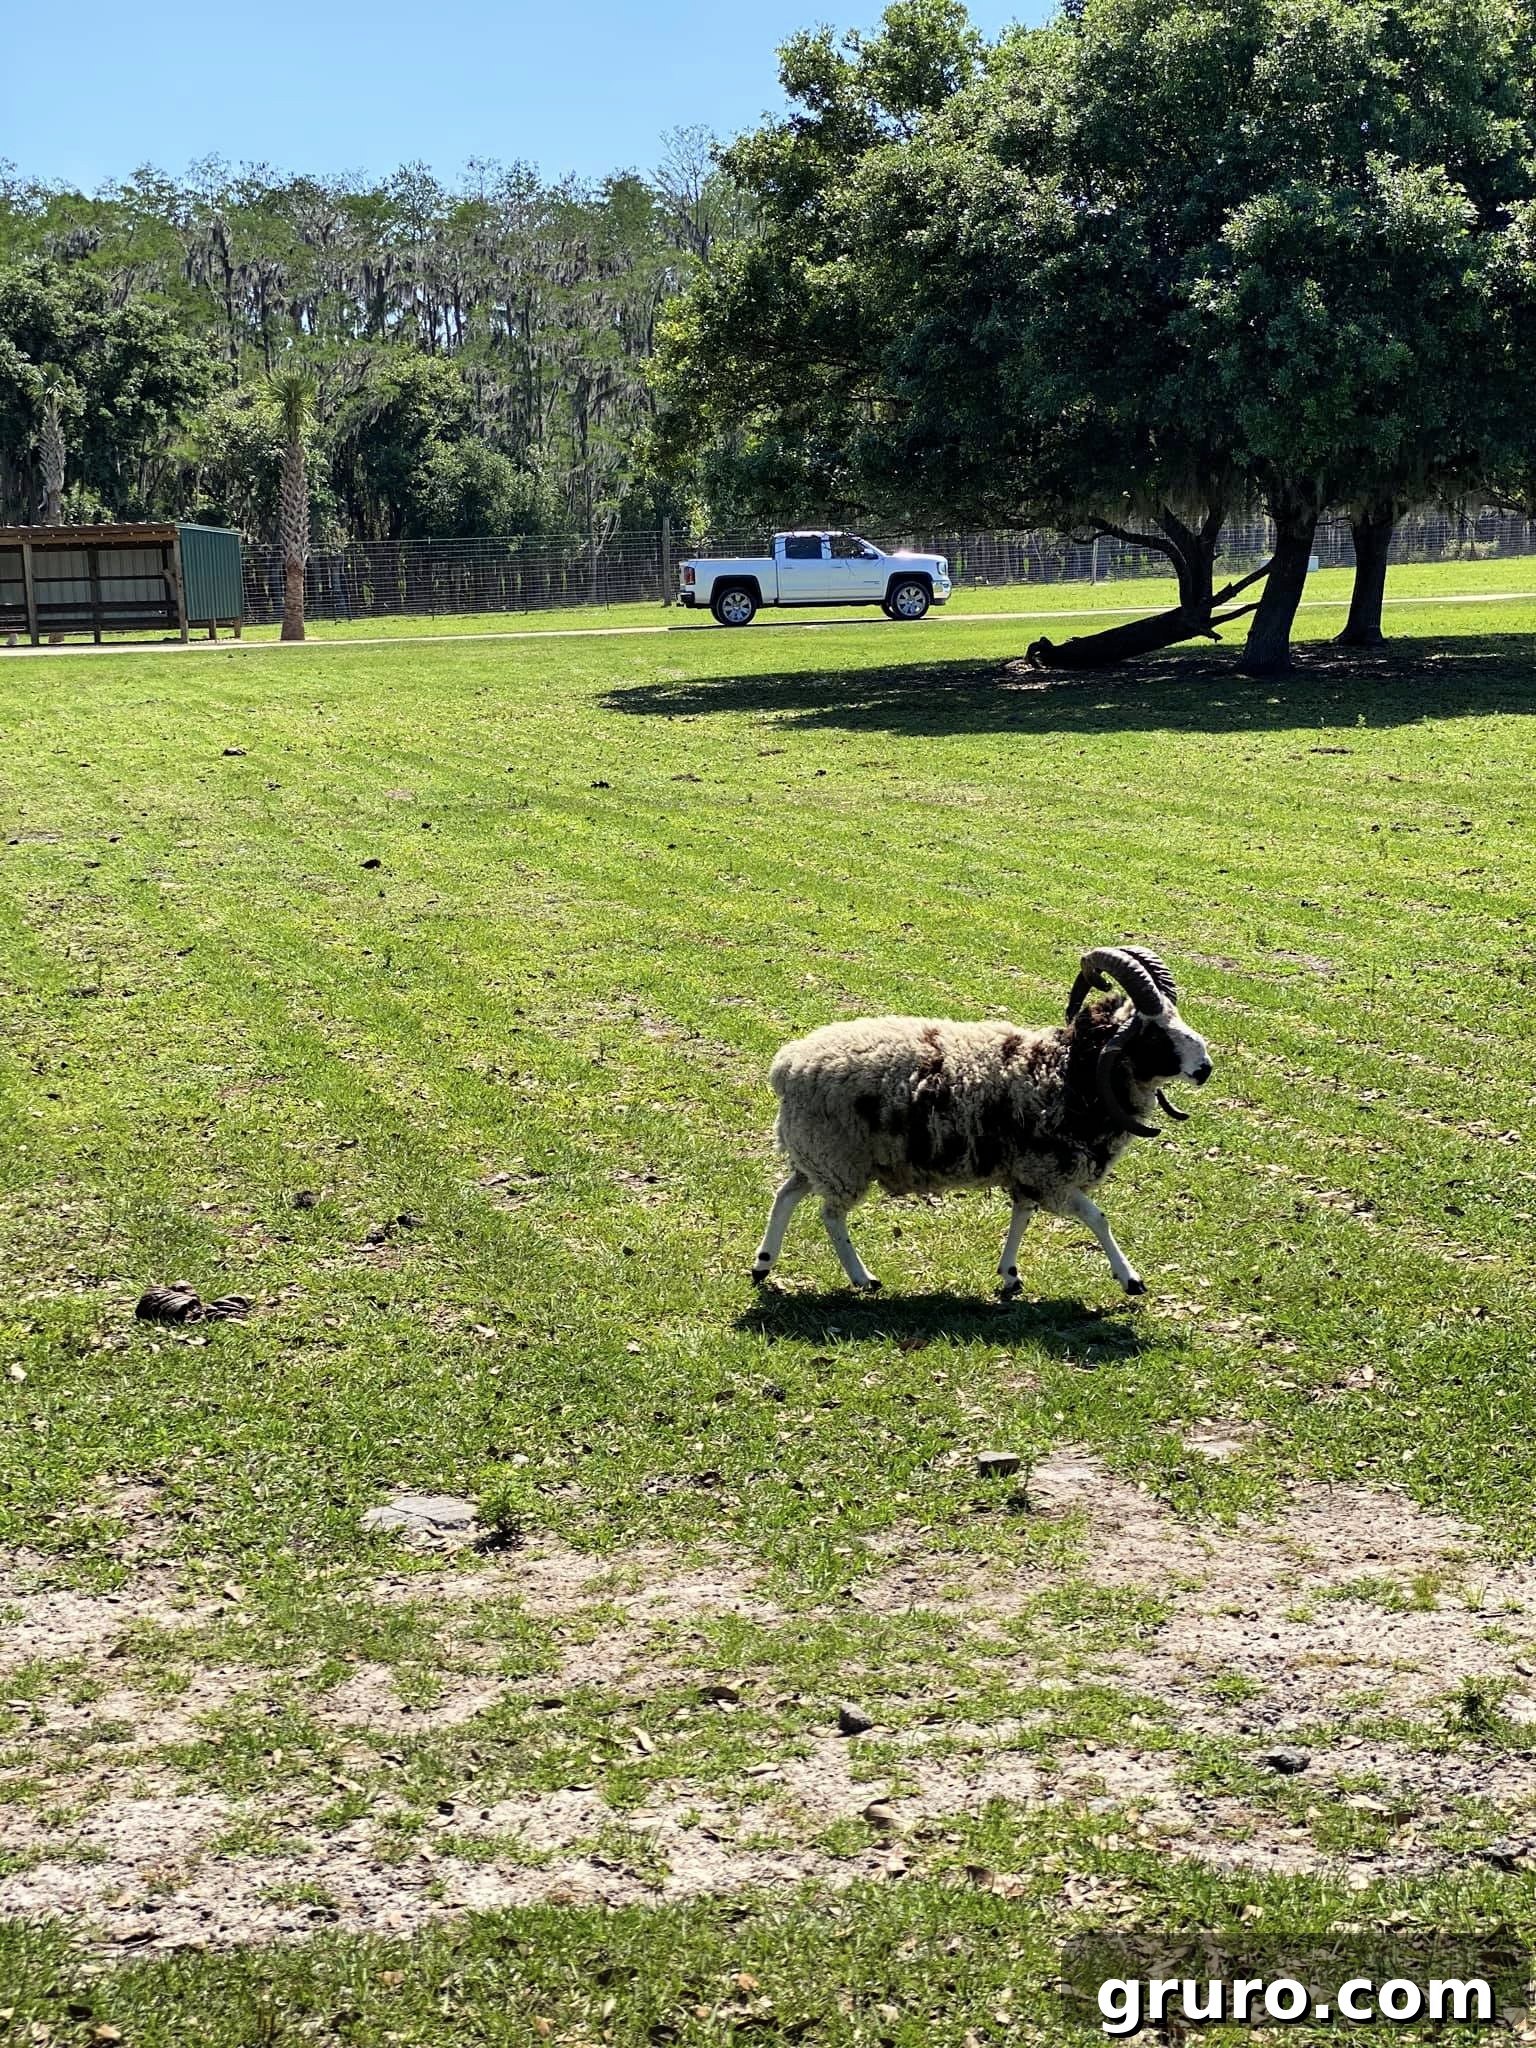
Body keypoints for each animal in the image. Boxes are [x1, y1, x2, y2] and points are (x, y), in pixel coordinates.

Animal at [750, 946, 1212, 1298]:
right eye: (1154, 1034)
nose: (1205, 1068)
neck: (1067, 1071)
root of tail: (787, 1066)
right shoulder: (1052, 1175)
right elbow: (1099, 1218)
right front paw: (1131, 1279)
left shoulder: (1030, 1172)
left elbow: (1022, 1215)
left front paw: (1010, 1275)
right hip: (838, 1158)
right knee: (829, 1215)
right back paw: (863, 1277)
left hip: (818, 1156)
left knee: (786, 1194)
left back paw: (763, 1264)